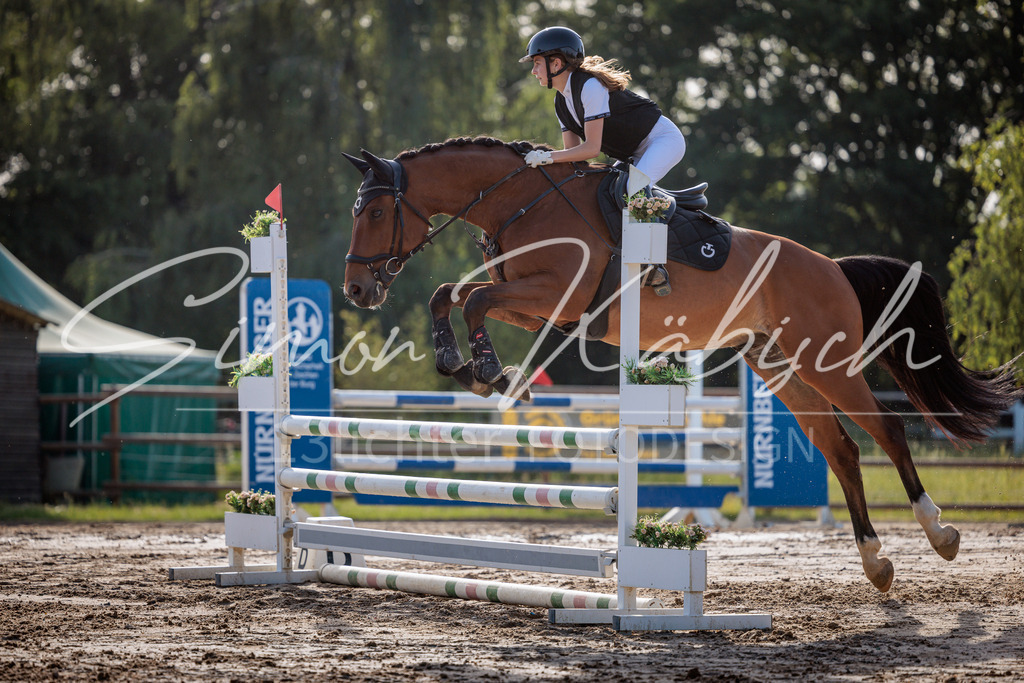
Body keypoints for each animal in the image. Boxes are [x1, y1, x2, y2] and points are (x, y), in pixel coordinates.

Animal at [340, 136, 1022, 593]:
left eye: (373, 212)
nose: (356, 291)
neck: (520, 202)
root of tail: (832, 266)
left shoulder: (553, 296)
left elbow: (475, 298)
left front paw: (488, 372)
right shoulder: (536, 309)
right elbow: (451, 294)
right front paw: (462, 364)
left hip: (829, 362)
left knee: (888, 429)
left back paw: (939, 534)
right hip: (779, 367)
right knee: (843, 450)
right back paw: (876, 563)